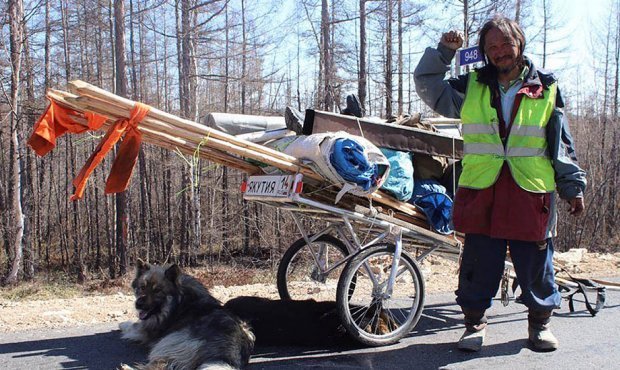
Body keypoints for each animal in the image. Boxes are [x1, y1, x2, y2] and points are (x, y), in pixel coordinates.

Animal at [118, 260, 254, 370]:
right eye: (142, 287)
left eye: (157, 291)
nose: (138, 304)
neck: (179, 300)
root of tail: (227, 356)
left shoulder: (146, 331)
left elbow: (133, 325)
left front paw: (122, 324)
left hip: (168, 342)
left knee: (161, 365)